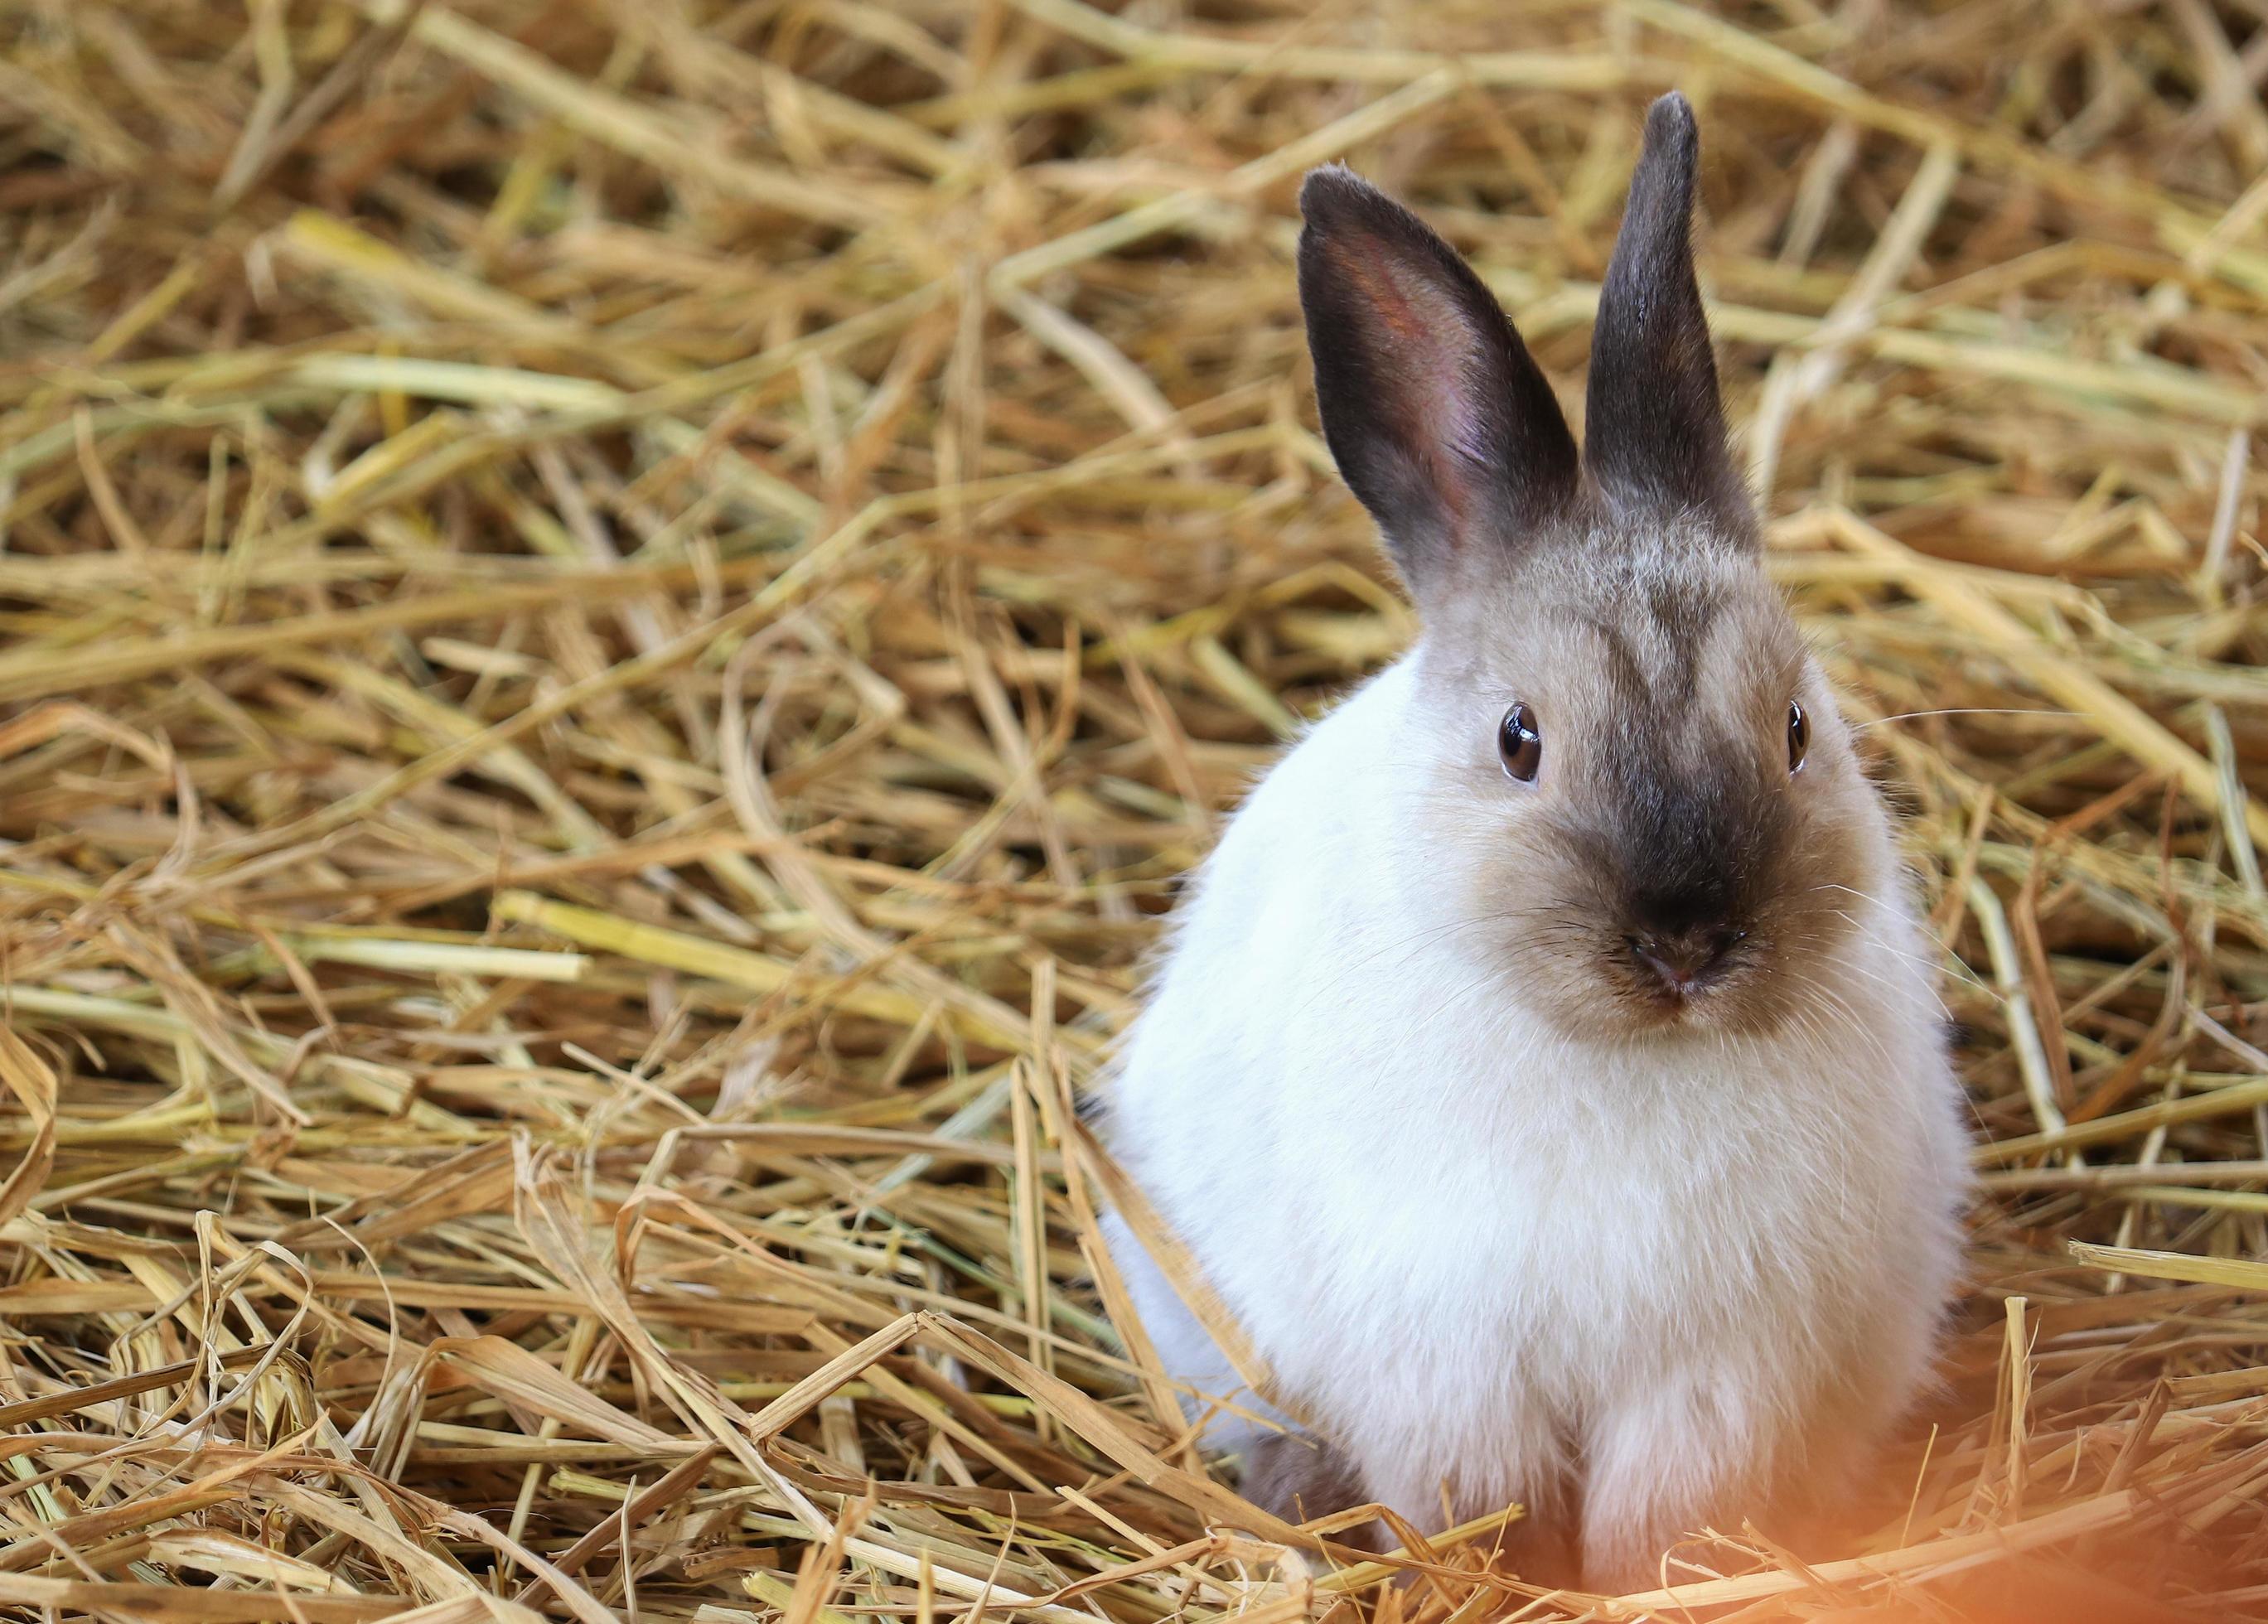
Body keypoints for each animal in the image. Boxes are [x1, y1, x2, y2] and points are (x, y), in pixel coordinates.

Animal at [1097, 94, 1968, 1597]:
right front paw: (1472, 1585)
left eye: (1797, 730)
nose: (1685, 943)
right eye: (1519, 741)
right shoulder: (1448, 1361)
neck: (1632, 1059)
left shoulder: (1713, 1370)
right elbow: (1474, 1502)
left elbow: (1662, 1515)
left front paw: (1646, 1589)